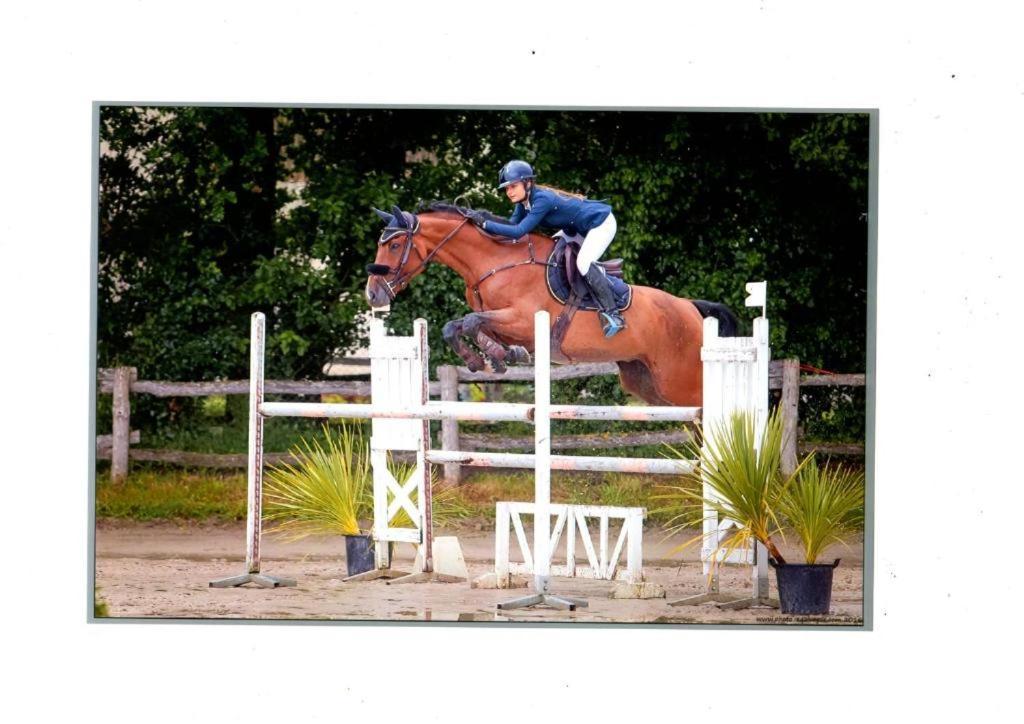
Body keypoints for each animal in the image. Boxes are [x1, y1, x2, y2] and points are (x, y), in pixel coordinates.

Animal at [362, 203, 737, 407]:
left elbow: (469, 322)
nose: (373, 295)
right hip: (647, 382)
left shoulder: (525, 321)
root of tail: (690, 308)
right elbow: (456, 325)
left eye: (393, 246)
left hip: (681, 381)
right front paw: (487, 358)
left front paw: (496, 356)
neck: (495, 262)